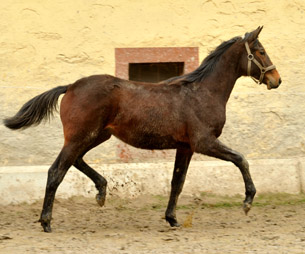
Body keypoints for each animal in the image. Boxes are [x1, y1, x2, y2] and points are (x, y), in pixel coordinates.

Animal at [4, 27, 280, 232]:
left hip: (96, 135)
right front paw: (247, 201)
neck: (202, 92)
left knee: (76, 161)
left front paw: (172, 219)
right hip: (80, 136)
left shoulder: (185, 147)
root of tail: (70, 86)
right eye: (261, 51)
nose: (276, 79)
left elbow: (177, 182)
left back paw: (101, 191)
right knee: (56, 171)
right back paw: (46, 221)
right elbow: (241, 159)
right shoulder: (204, 142)